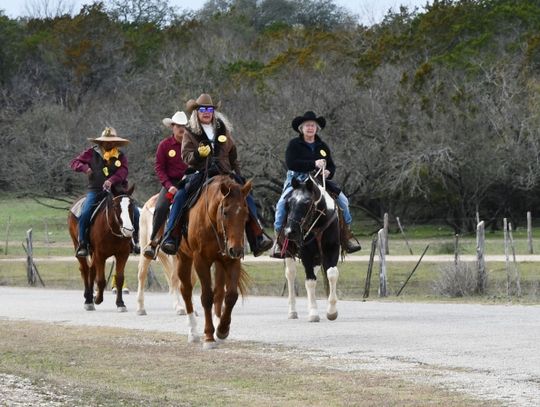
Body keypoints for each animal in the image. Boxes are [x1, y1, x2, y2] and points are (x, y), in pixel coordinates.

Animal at [177, 174, 253, 350]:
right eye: (225, 212)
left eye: (246, 213)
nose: (237, 249)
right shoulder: (200, 261)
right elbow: (206, 297)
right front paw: (209, 337)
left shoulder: (231, 261)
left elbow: (231, 295)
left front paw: (223, 329)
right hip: (183, 257)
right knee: (186, 290)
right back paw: (193, 332)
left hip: (219, 263)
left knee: (219, 292)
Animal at [282, 177, 338, 324]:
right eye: (289, 202)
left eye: (307, 202)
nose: (290, 231)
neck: (318, 224)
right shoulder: (305, 252)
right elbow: (310, 281)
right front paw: (313, 313)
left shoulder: (332, 249)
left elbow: (331, 274)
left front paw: (332, 312)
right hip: (289, 253)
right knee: (290, 274)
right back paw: (292, 311)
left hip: (318, 257)